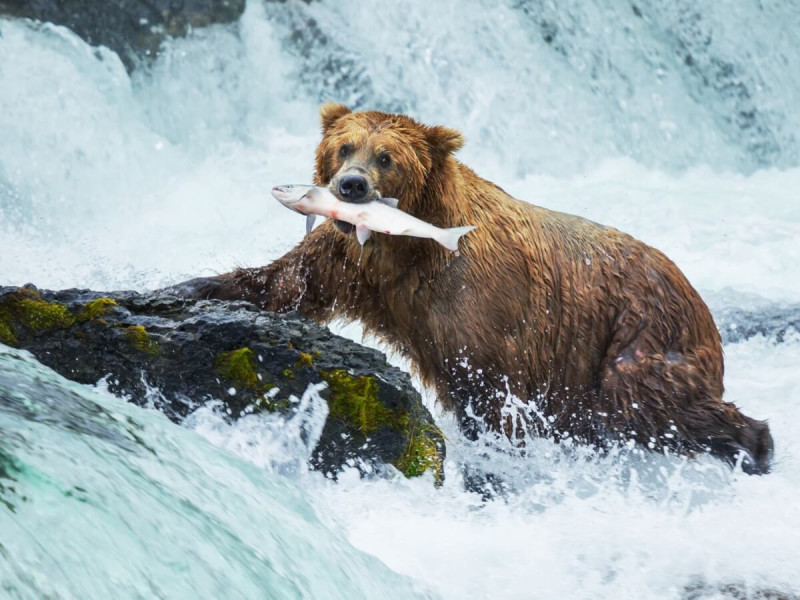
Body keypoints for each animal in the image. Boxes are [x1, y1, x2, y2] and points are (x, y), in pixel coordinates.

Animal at [177, 103, 773, 474]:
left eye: (386, 156)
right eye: (344, 146)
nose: (351, 186)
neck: (408, 246)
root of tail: (695, 294)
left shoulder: (481, 302)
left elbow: (489, 388)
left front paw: (496, 456)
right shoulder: (352, 263)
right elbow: (286, 282)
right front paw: (193, 285)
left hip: (637, 330)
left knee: (646, 399)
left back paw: (755, 444)